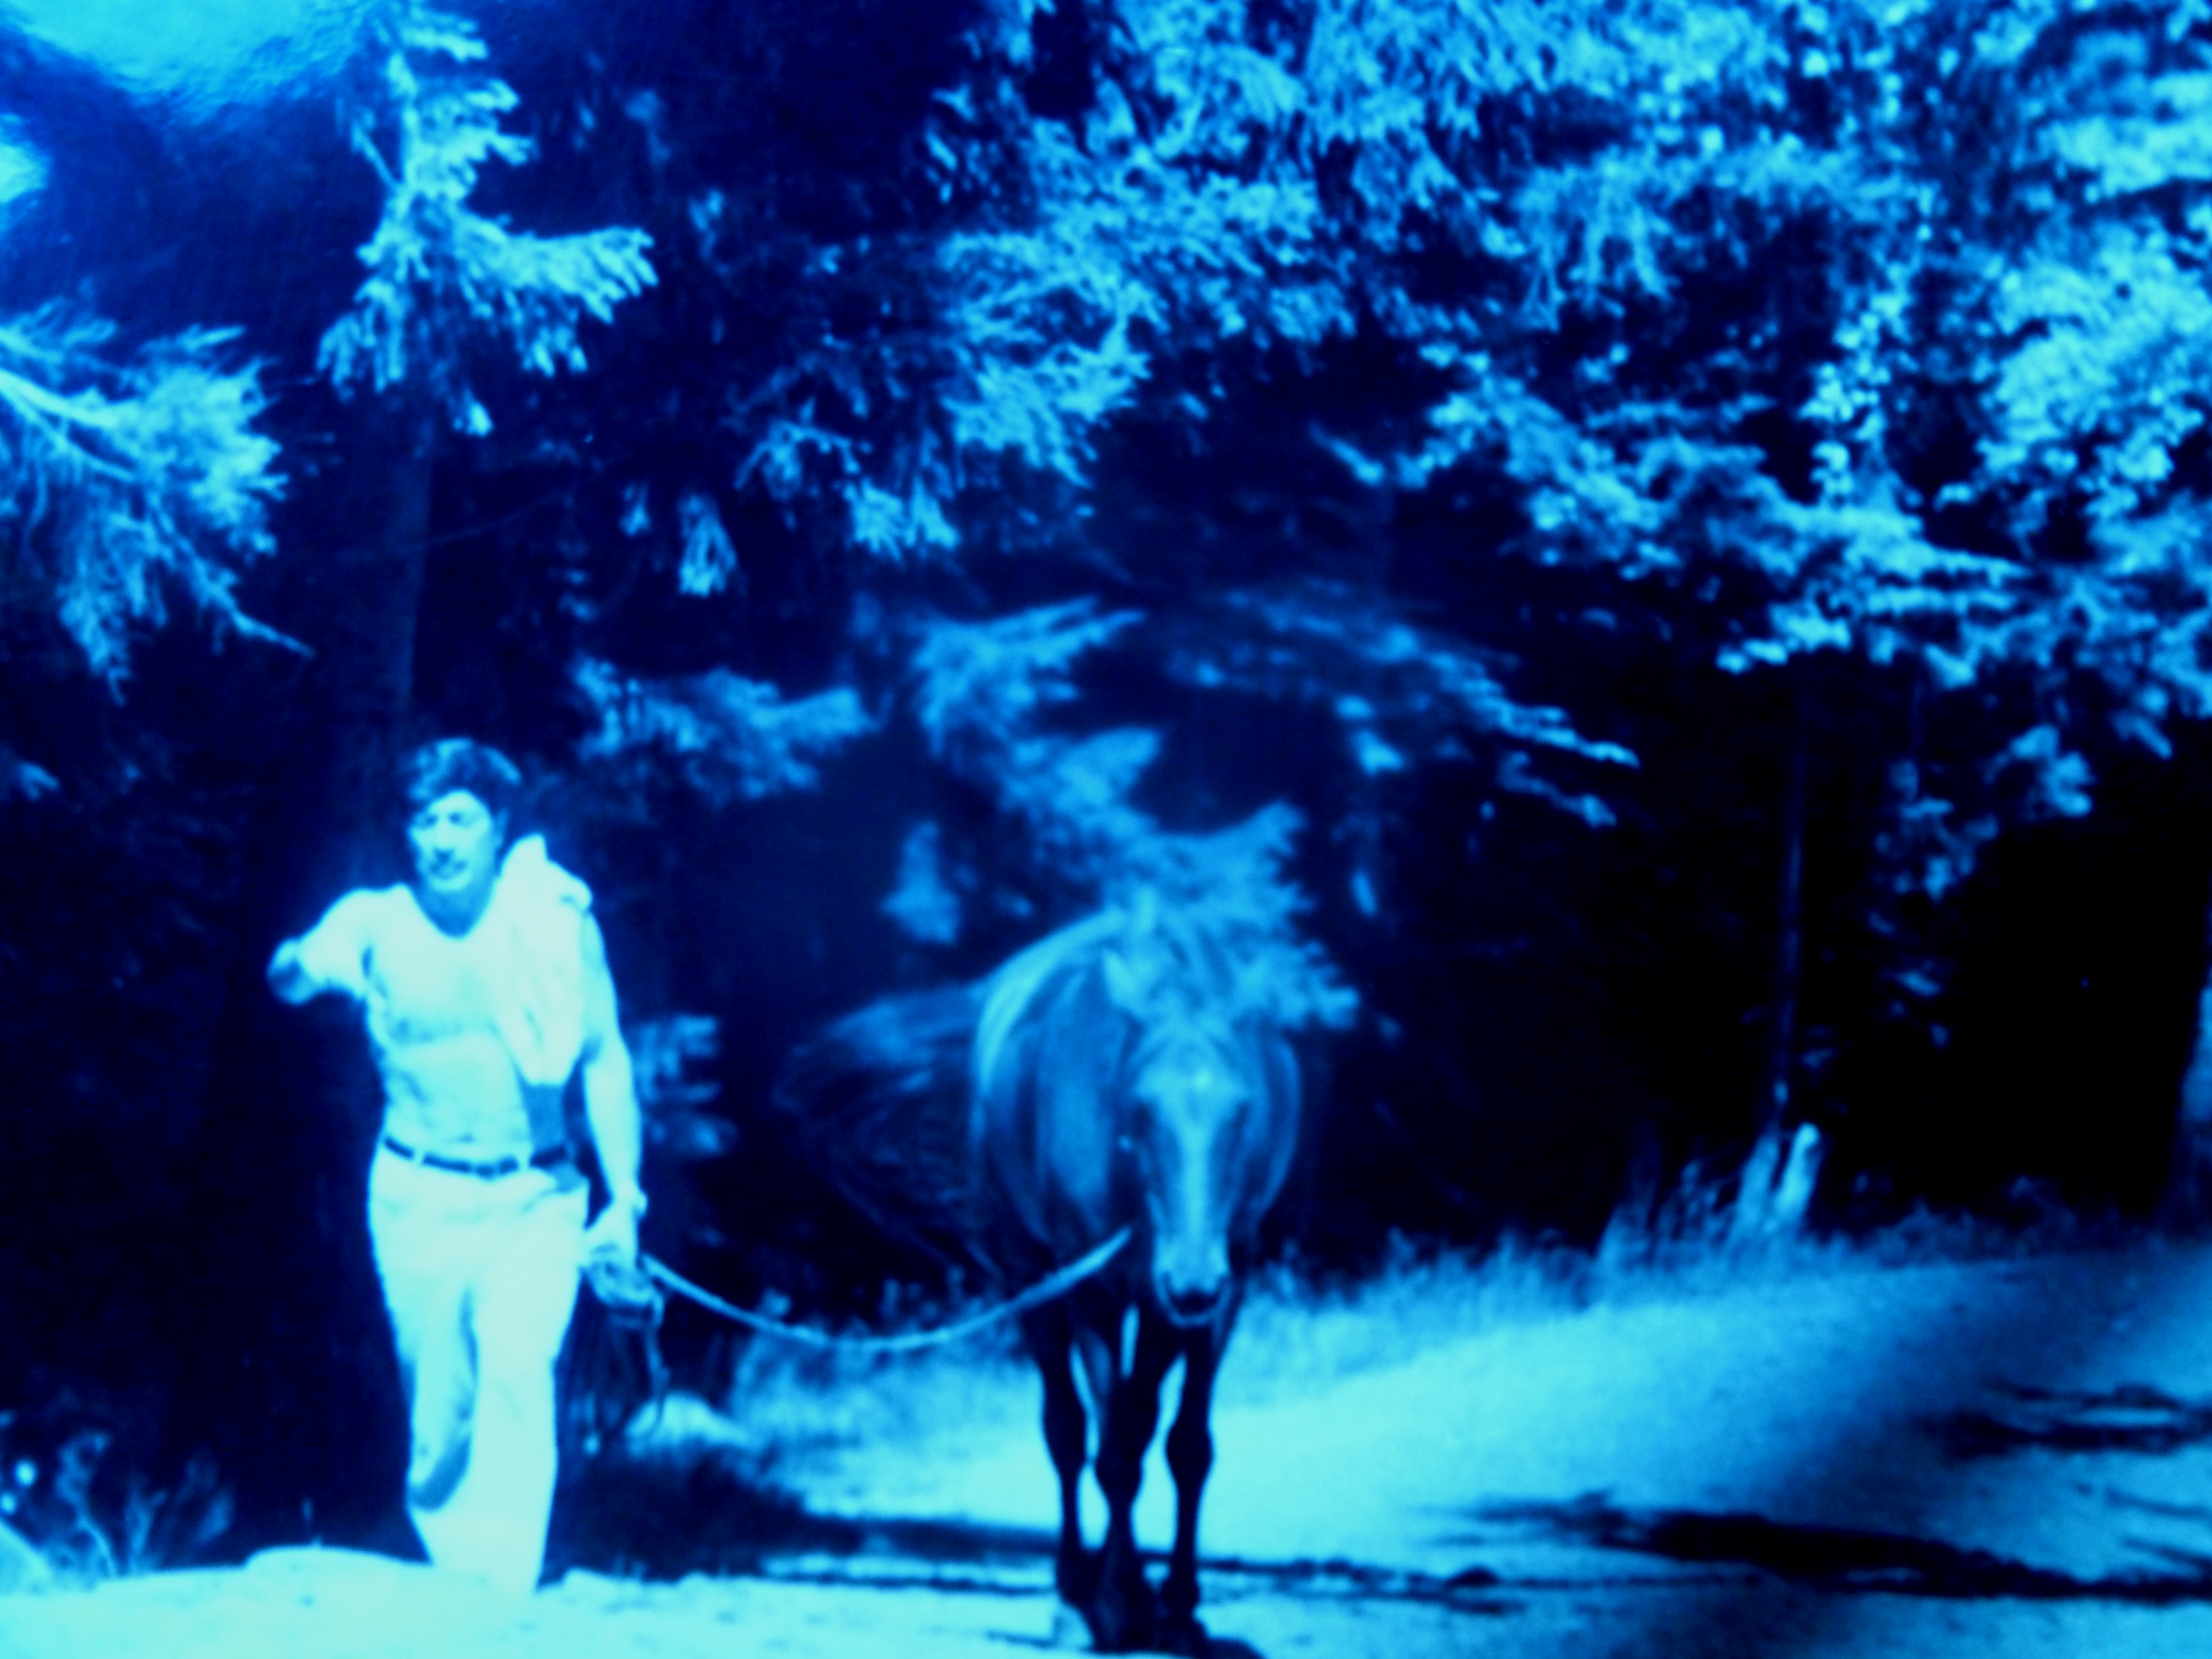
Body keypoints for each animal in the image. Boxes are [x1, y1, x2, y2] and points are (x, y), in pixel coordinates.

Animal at [971, 897, 1303, 1654]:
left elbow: (1182, 1444)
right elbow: (1113, 1450)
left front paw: (1175, 1603)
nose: (1191, 1278)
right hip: (1029, 1273)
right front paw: (1115, 1600)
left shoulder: (1218, 1294)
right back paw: (1075, 1590)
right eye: (1139, 1107)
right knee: (1068, 1432)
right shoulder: (1091, 1288)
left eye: (1243, 1108)